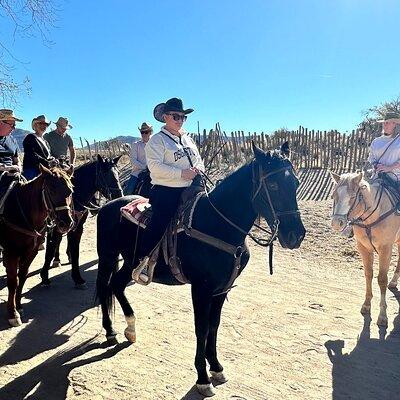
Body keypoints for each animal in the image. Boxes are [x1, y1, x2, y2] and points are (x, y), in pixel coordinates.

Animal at [0, 167, 74, 326]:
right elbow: (13, 281)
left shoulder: (31, 251)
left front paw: (18, 305)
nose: (66, 223)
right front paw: (12, 313)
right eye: (51, 191)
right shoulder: (11, 252)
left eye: (70, 190)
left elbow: (22, 276)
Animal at [40, 154, 123, 288]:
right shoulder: (55, 226)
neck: (75, 196)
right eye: (105, 173)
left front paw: (77, 278)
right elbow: (50, 249)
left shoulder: (78, 227)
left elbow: (75, 252)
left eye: (117, 172)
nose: (119, 195)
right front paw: (44, 276)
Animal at [95, 142, 304, 396]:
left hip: (129, 261)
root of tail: (107, 206)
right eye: (272, 185)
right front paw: (203, 378)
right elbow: (201, 329)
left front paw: (216, 367)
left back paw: (131, 329)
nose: (296, 235)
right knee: (104, 286)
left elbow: (214, 326)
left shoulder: (222, 289)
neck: (217, 224)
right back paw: (110, 331)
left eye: (295, 183)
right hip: (107, 257)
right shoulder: (201, 290)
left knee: (116, 285)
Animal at [332, 170, 400, 326]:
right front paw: (366, 305)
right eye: (334, 195)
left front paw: (382, 315)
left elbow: (382, 279)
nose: (336, 223)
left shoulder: (385, 249)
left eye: (352, 197)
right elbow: (368, 274)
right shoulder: (363, 247)